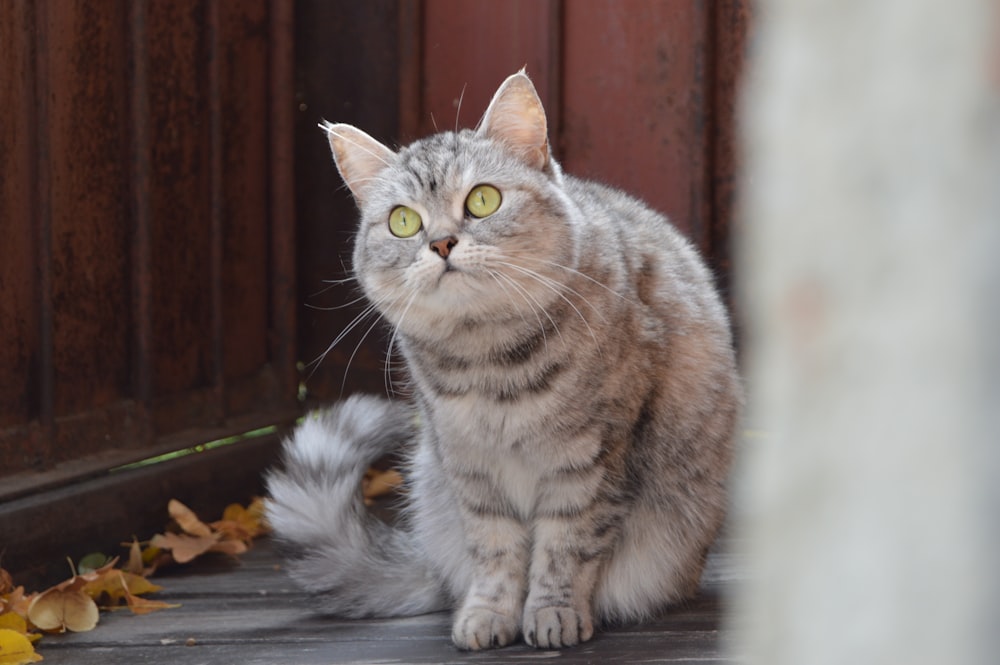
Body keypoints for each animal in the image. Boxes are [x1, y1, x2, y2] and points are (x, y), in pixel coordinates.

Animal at [266, 71, 744, 648]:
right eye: (402, 221)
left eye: (483, 199)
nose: (442, 243)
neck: (489, 362)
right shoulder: (470, 467)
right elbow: (495, 552)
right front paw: (489, 615)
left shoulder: (590, 461)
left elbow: (565, 547)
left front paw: (553, 613)